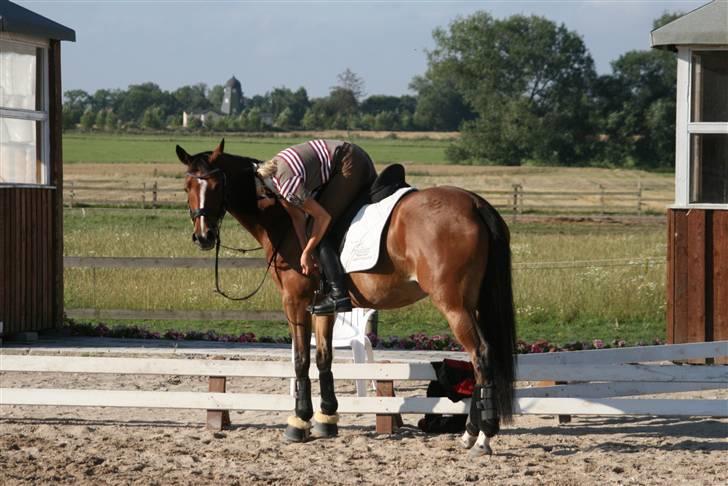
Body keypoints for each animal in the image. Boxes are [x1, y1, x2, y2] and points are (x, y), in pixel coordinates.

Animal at [176, 140, 516, 456]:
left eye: (216, 186)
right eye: (187, 186)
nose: (203, 236)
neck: (281, 216)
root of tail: (474, 203)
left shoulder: (295, 301)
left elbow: (300, 360)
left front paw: (299, 422)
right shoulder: (323, 306)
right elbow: (323, 357)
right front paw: (327, 419)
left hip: (453, 304)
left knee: (481, 355)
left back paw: (482, 438)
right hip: (473, 304)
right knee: (481, 359)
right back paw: (470, 433)